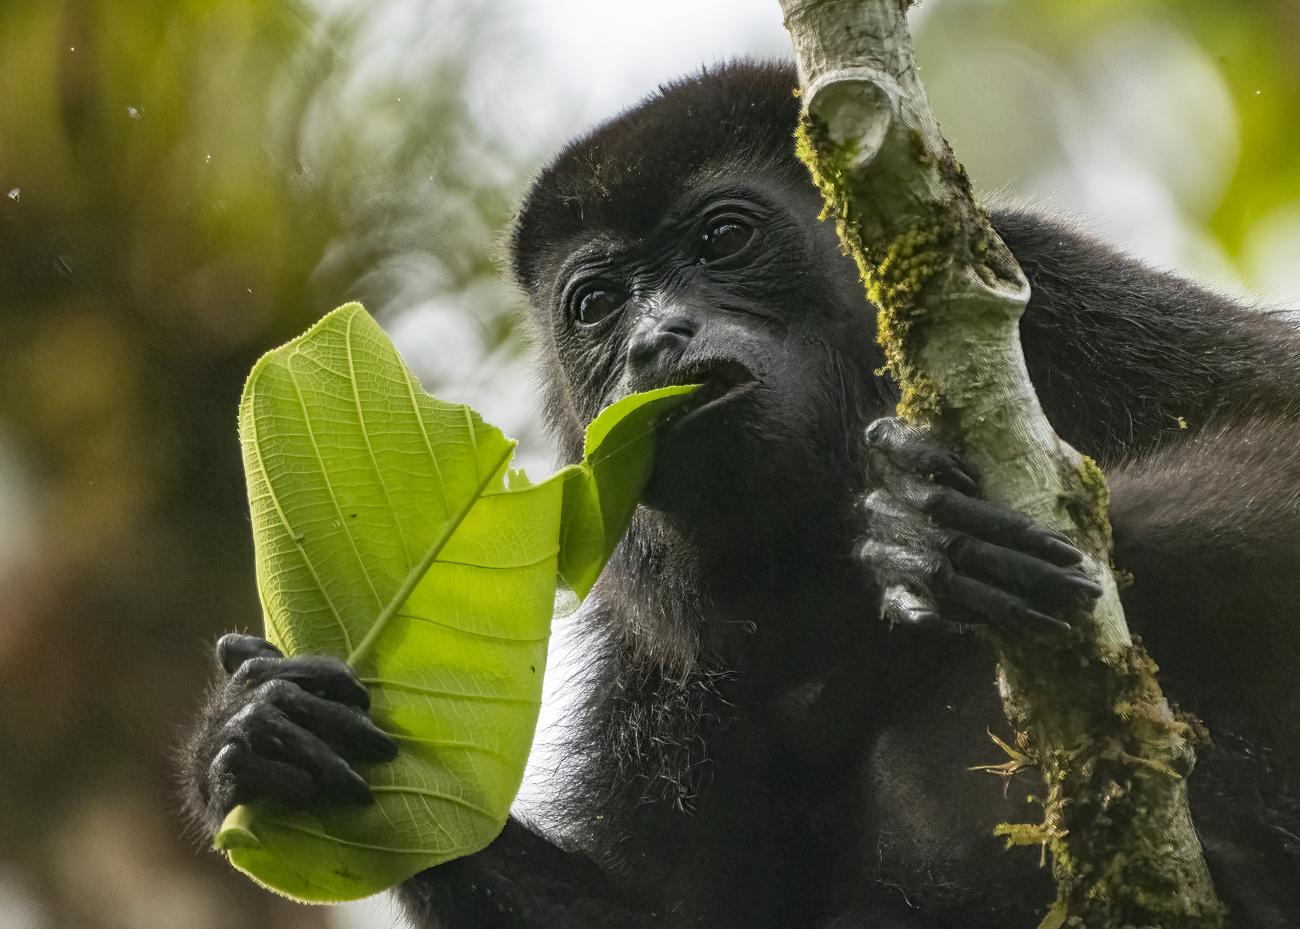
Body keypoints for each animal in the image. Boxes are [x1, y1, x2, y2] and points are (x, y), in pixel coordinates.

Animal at [181, 61, 1300, 928]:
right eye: (596, 304)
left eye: (723, 241)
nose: (652, 340)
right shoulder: (653, 662)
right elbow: (691, 910)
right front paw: (267, 733)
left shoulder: (1049, 288)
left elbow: (1278, 426)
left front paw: (946, 540)